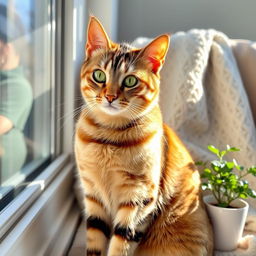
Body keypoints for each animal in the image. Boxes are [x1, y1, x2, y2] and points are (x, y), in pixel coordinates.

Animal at [74, 16, 214, 256]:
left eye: (130, 81)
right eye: (99, 75)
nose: (110, 96)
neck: (108, 137)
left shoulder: (138, 198)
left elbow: (121, 244)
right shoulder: (93, 194)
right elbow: (95, 240)